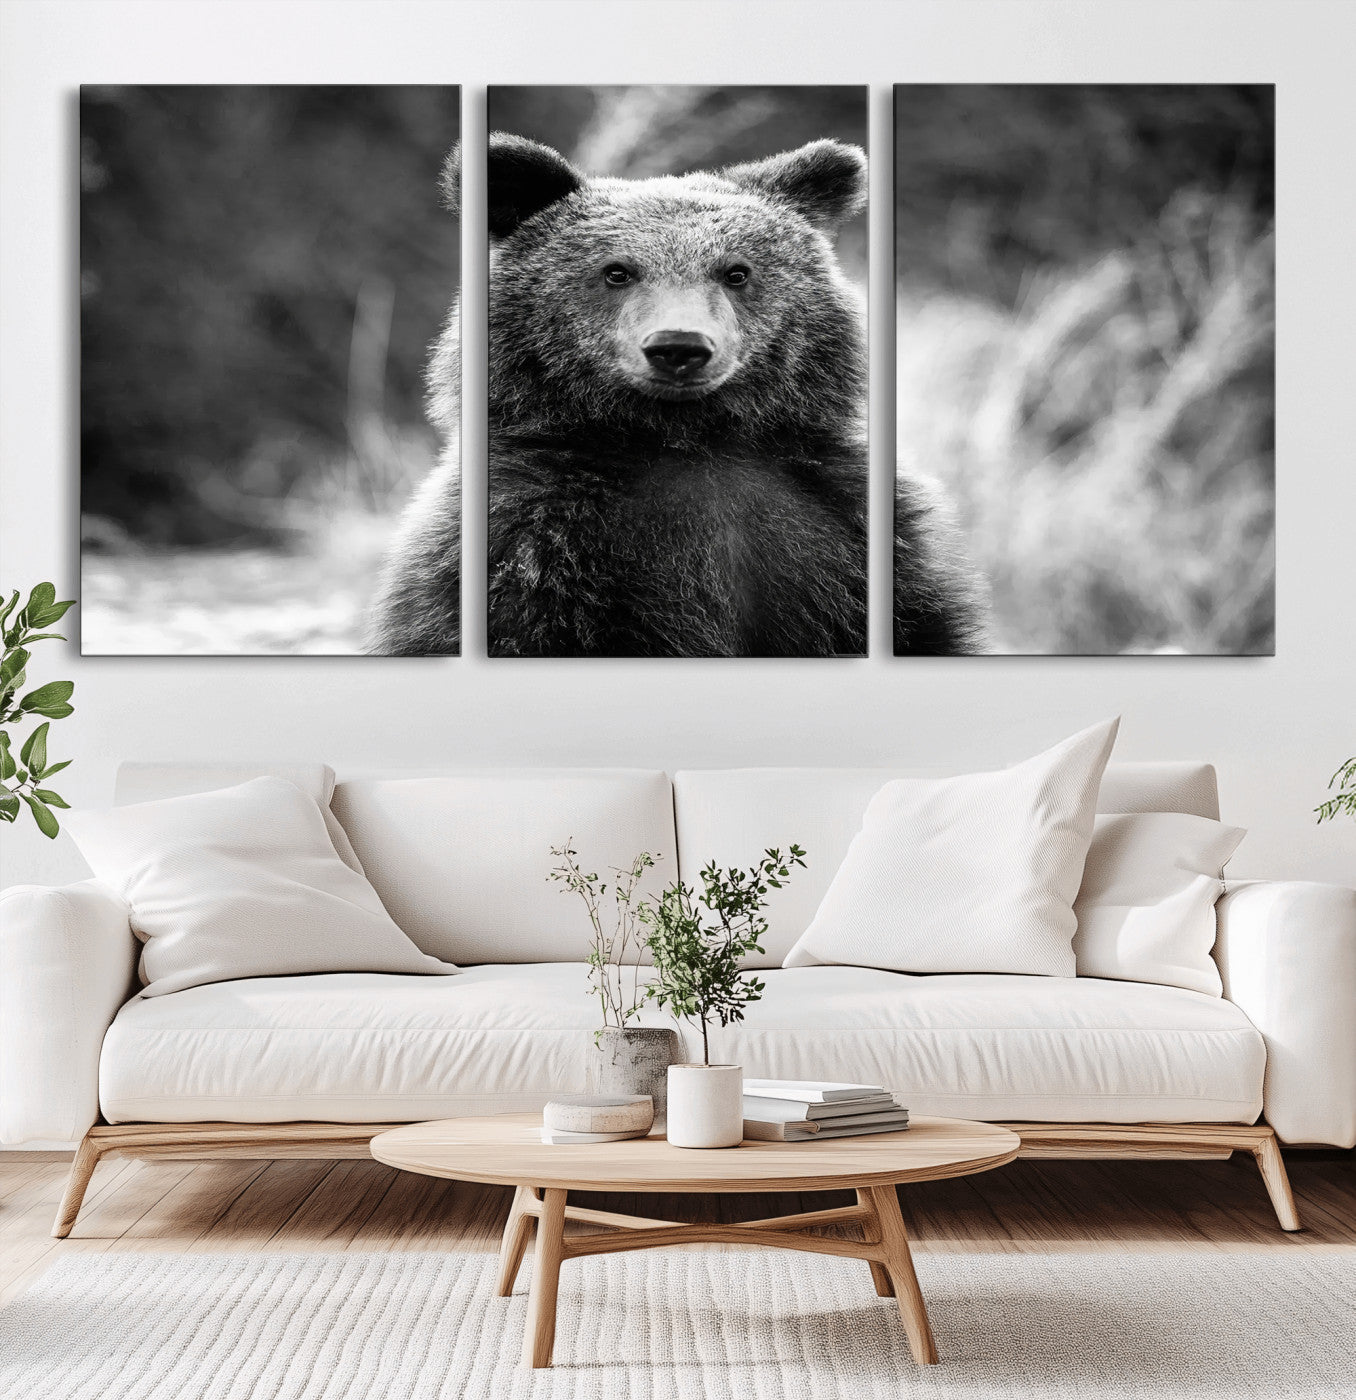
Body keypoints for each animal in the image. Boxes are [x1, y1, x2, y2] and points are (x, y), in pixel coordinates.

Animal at [368, 133, 985, 657]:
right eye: (617, 271)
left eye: (736, 271)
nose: (679, 347)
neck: (687, 439)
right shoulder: (531, 544)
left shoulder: (845, 529)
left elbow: (921, 625)